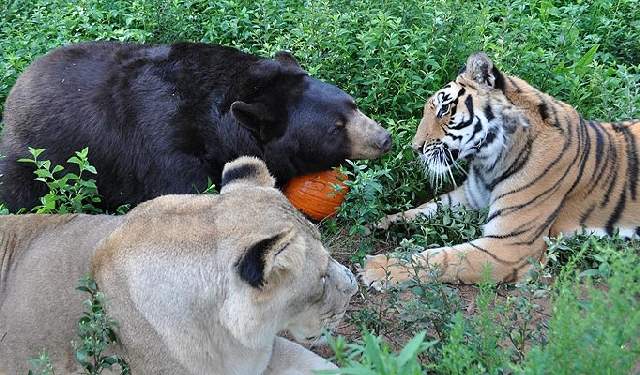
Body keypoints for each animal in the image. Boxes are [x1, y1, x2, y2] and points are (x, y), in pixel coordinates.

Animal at [0, 41, 390, 212]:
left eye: (352, 104)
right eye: (335, 127)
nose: (383, 138)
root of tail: (16, 90)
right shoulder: (163, 143)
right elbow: (185, 192)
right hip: (30, 159)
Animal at [360, 52, 640, 288]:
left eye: (445, 109)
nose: (415, 148)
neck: (488, 161)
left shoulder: (510, 246)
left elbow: (444, 258)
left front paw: (379, 268)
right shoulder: (466, 198)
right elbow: (419, 210)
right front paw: (375, 223)